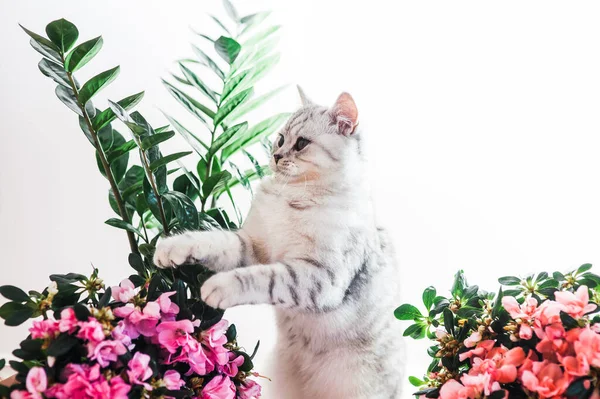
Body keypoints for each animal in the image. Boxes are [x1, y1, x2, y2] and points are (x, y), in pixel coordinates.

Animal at [152, 88, 406, 399]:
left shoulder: (318, 276)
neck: (293, 196)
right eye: (281, 139)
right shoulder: (252, 247)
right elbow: (211, 240)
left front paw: (217, 287)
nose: (275, 155)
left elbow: (262, 278)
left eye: (302, 143)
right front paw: (171, 248)